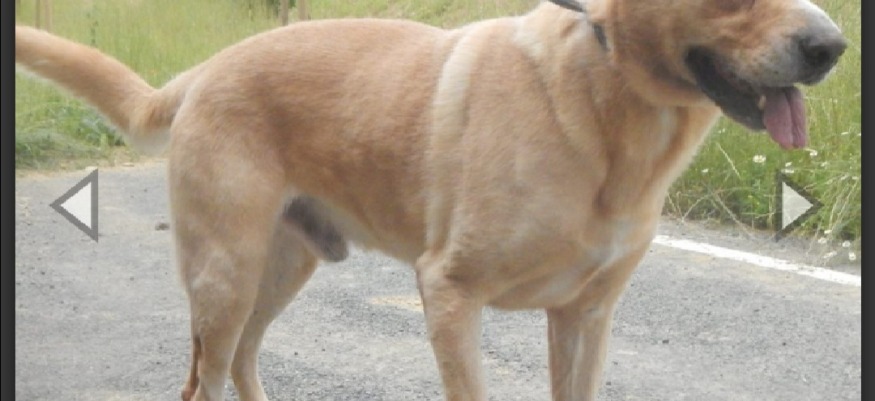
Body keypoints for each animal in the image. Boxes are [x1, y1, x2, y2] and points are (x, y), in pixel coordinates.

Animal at [15, 0, 846, 400]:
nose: (831, 47)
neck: (599, 98)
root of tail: (204, 69)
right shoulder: (449, 291)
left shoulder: (585, 316)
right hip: (225, 275)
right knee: (202, 382)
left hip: (278, 270)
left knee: (246, 361)